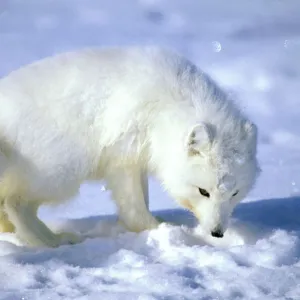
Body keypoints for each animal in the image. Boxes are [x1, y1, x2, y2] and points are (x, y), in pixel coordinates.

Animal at [0, 47, 258, 247]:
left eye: (234, 193)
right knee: (15, 204)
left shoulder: (140, 158)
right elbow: (134, 206)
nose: (217, 233)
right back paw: (52, 241)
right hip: (61, 172)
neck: (166, 109)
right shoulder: (123, 157)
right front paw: (157, 229)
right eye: (203, 191)